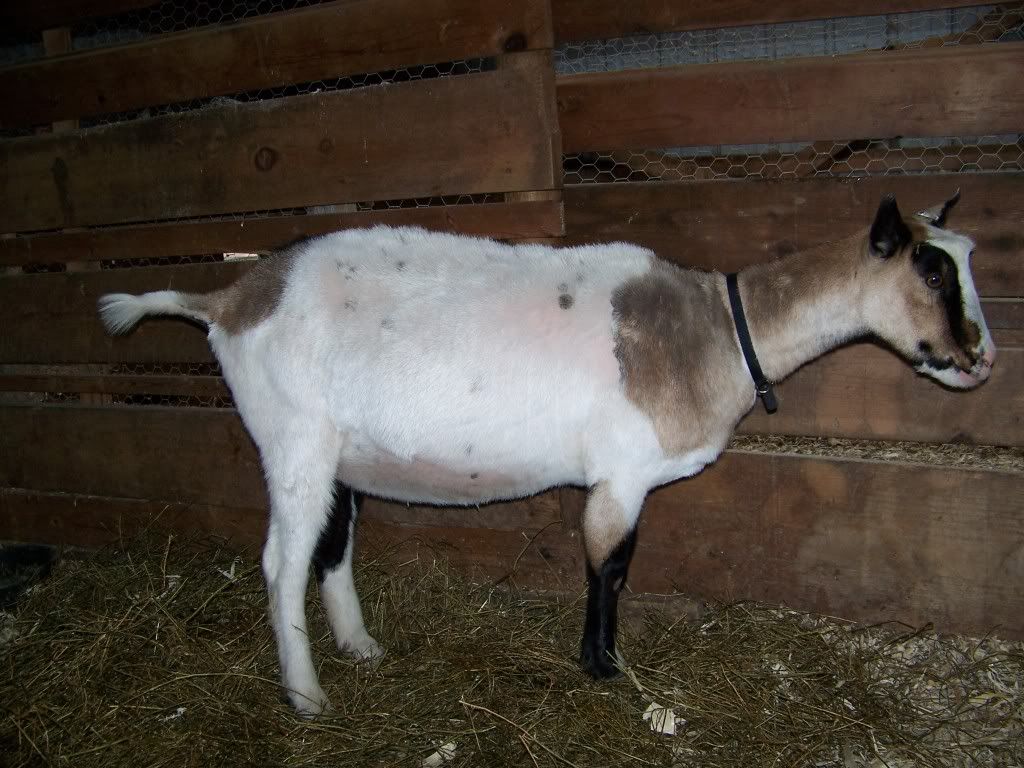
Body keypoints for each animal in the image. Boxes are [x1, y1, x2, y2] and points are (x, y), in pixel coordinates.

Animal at [98, 193, 994, 716]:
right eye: (930, 267)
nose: (982, 358)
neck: (713, 331)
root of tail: (231, 297)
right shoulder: (623, 473)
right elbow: (610, 568)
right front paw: (604, 666)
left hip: (339, 453)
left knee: (330, 548)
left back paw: (360, 647)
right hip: (293, 438)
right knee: (281, 563)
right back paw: (307, 693)